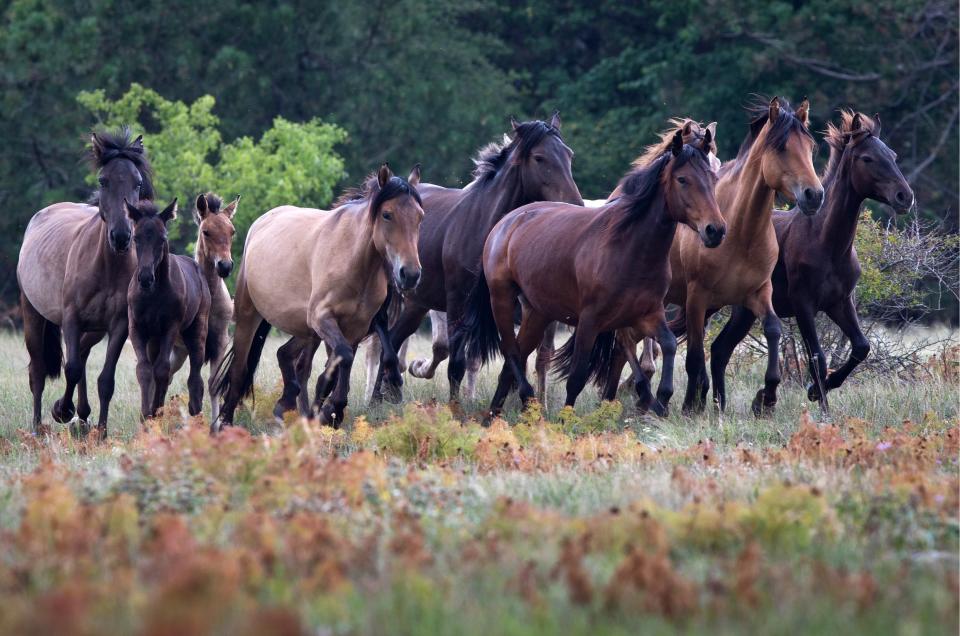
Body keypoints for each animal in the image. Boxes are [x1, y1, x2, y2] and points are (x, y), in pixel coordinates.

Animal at [17, 129, 154, 438]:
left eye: (138, 183)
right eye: (103, 181)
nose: (121, 236)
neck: (105, 266)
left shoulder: (118, 325)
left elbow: (105, 380)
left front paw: (101, 431)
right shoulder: (71, 318)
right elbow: (72, 369)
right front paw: (62, 411)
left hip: (94, 329)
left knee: (80, 352)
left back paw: (83, 415)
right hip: (33, 315)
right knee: (38, 370)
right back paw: (38, 426)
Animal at [125, 199, 212, 418]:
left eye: (162, 238)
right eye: (136, 237)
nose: (145, 278)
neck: (153, 294)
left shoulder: (170, 327)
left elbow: (162, 370)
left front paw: (156, 412)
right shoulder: (136, 328)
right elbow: (144, 370)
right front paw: (146, 415)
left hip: (197, 331)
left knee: (195, 378)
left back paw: (196, 413)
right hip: (154, 340)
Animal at [218, 166, 428, 430]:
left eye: (420, 217)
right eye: (387, 214)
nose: (410, 274)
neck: (354, 261)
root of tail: (262, 221)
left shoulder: (356, 327)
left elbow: (337, 366)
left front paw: (328, 412)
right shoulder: (323, 318)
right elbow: (343, 358)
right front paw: (332, 409)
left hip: (306, 330)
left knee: (288, 357)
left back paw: (288, 406)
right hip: (250, 316)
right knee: (239, 370)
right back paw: (225, 421)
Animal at [462, 130, 724, 418]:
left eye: (713, 178)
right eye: (682, 179)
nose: (715, 230)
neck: (629, 246)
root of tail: (505, 223)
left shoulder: (648, 313)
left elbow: (667, 344)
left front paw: (660, 399)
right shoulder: (589, 320)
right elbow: (577, 376)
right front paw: (566, 420)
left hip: (538, 312)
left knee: (516, 356)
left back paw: (495, 415)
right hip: (502, 299)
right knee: (510, 350)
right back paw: (527, 399)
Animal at [708, 110, 912, 412]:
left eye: (893, 155)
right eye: (867, 158)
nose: (905, 197)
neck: (827, 244)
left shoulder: (840, 302)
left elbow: (861, 347)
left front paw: (817, 390)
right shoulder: (804, 304)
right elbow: (818, 357)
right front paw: (821, 404)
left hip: (744, 309)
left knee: (720, 349)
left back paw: (722, 406)